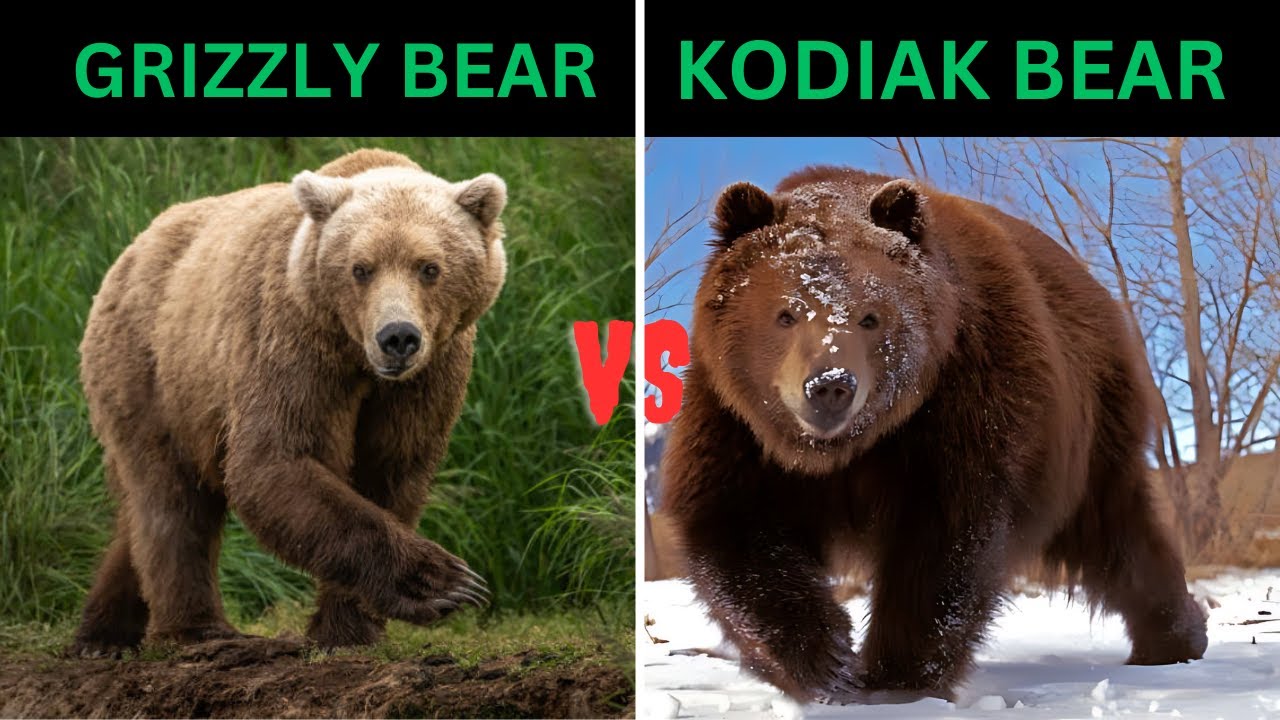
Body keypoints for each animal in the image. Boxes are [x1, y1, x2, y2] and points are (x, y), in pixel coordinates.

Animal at [71, 148, 507, 655]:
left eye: (429, 267)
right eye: (361, 268)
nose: (397, 337)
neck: (355, 356)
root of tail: (130, 250)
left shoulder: (426, 377)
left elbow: (389, 471)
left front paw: (348, 628)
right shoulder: (293, 343)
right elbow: (276, 458)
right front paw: (446, 583)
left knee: (140, 514)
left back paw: (102, 632)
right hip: (154, 371)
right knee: (171, 501)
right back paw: (197, 629)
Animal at [661, 165, 1208, 703]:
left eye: (870, 316)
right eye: (785, 313)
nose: (830, 385)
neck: (845, 450)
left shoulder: (959, 398)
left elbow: (944, 540)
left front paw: (895, 676)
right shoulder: (736, 425)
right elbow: (732, 525)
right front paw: (826, 658)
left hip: (1091, 428)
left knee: (1118, 535)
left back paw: (1175, 638)